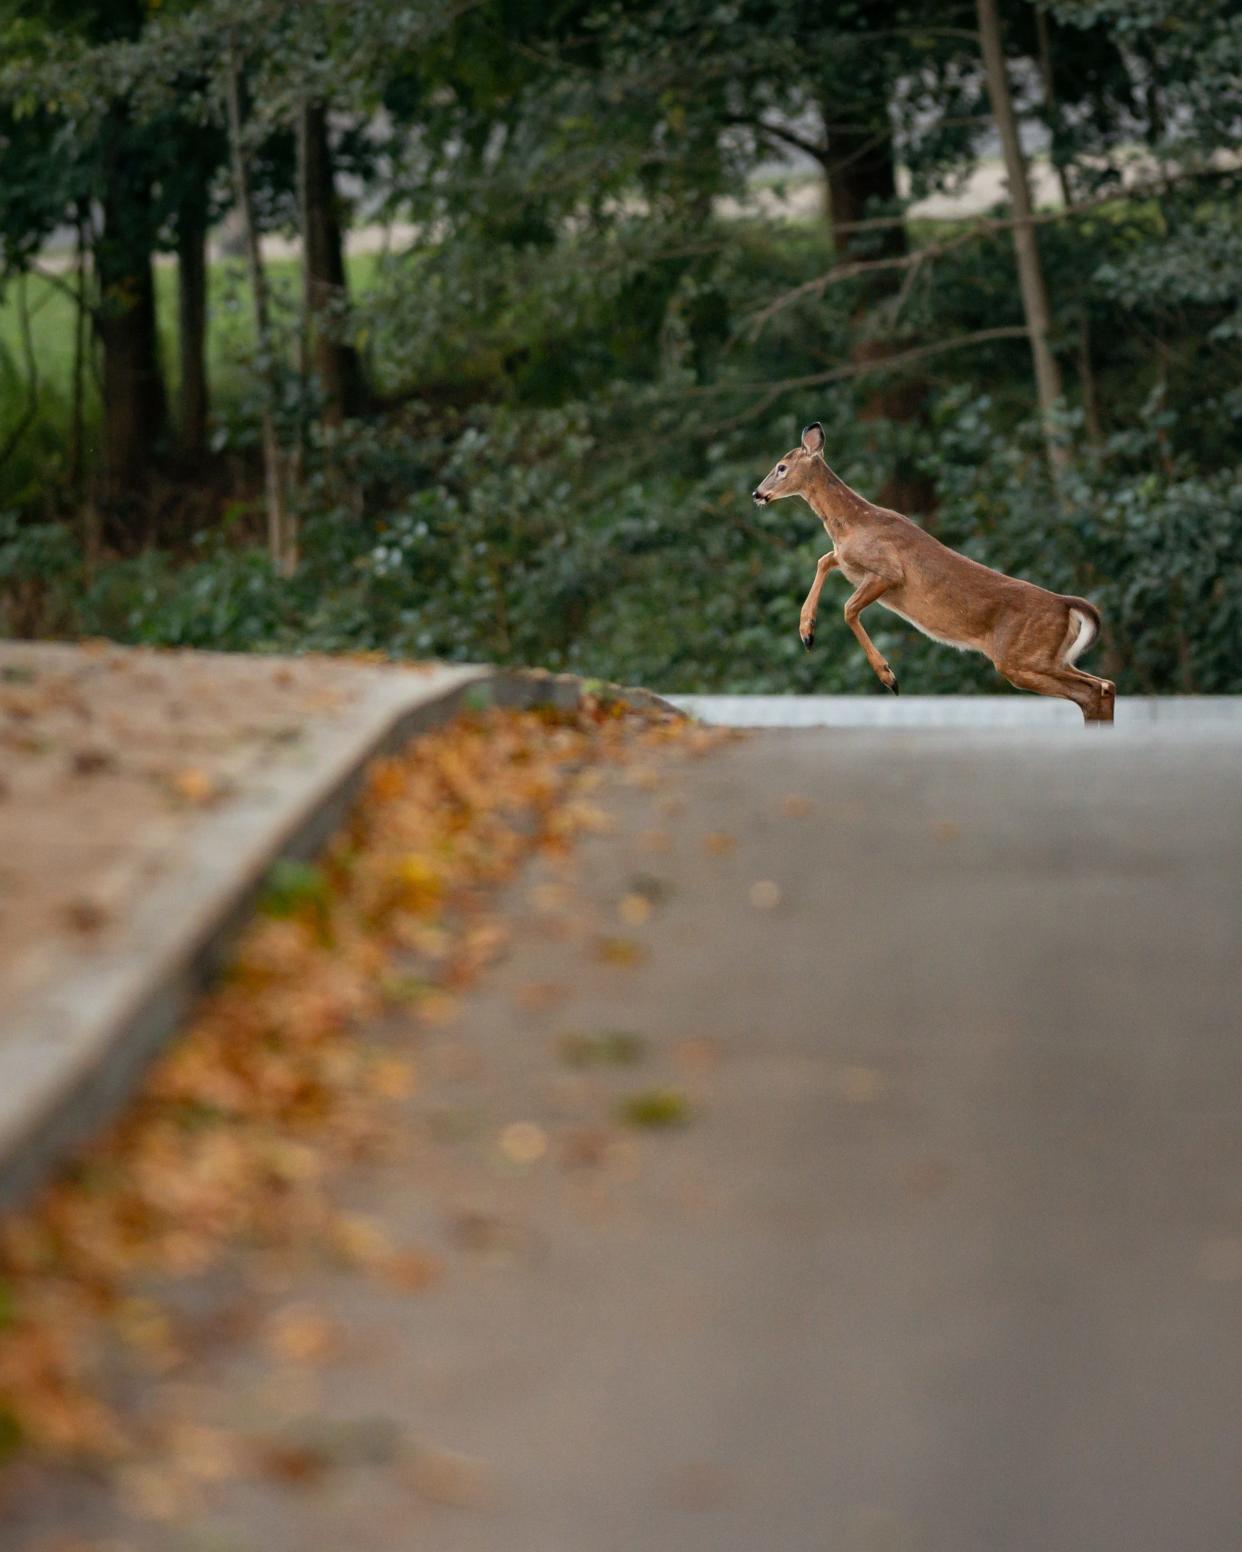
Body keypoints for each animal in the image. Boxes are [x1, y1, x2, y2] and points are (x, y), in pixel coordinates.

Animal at [751, 419, 1117, 720]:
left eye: (781, 467)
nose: (757, 493)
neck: (852, 523)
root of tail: (1065, 604)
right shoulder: (848, 560)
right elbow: (824, 560)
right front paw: (807, 632)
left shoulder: (888, 571)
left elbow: (848, 607)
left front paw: (888, 676)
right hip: (1052, 658)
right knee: (1104, 686)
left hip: (1020, 657)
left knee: (1091, 690)